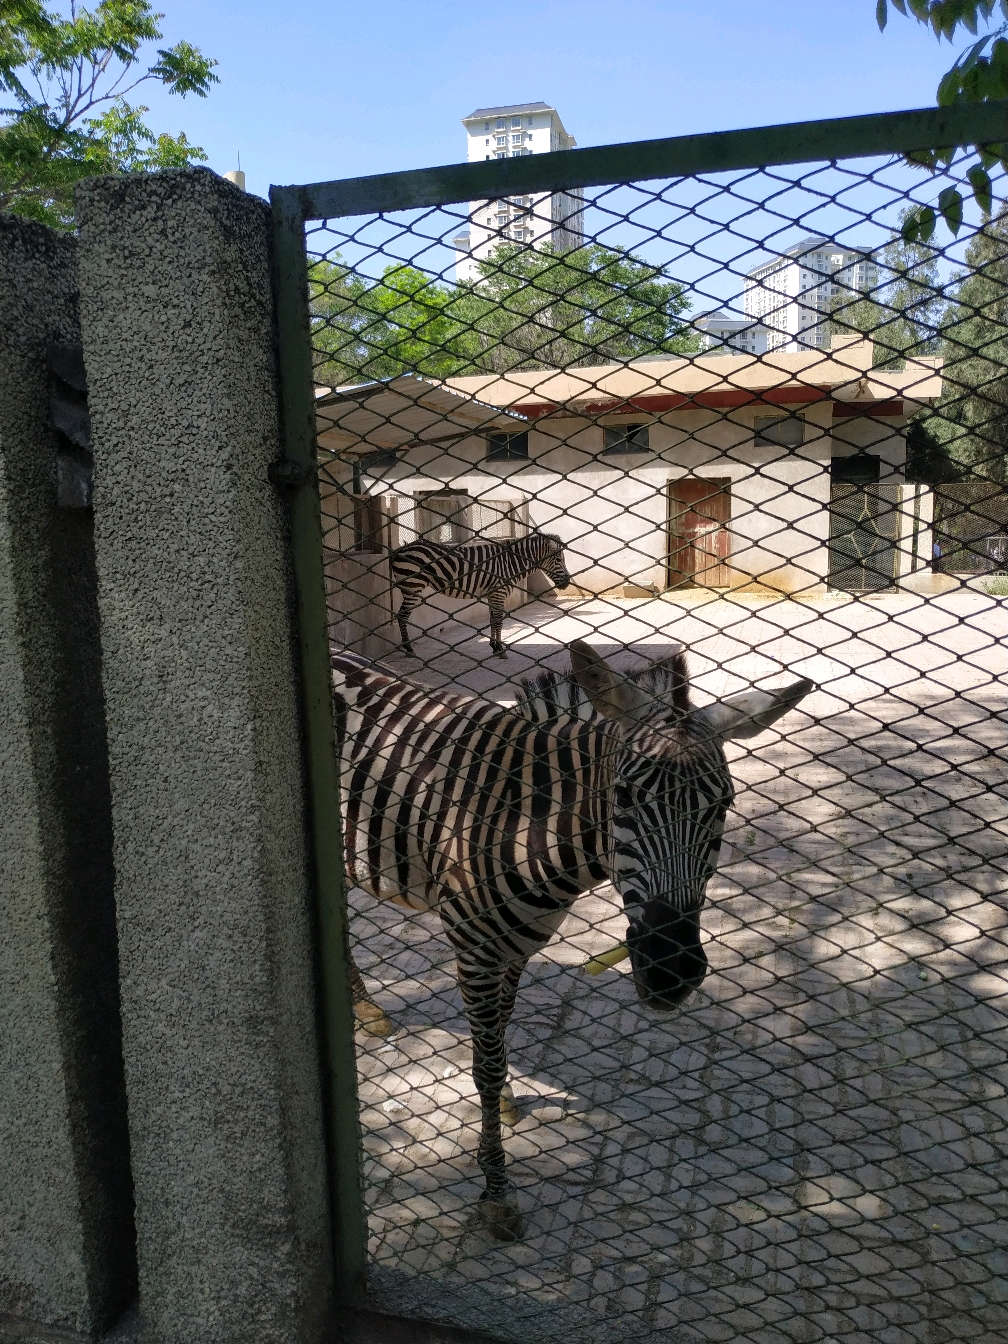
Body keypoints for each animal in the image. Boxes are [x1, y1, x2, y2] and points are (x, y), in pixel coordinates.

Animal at [331, 639, 811, 1236]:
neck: (524, 820)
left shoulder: (515, 947)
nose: (670, 970)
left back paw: (365, 1012)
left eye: (723, 806)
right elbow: (485, 1065)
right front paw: (497, 1194)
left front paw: (507, 1102)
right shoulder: (475, 950)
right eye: (623, 797)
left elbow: (498, 1040)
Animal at [389, 529, 572, 655]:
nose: (567, 583)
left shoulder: (493, 593)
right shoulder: (499, 592)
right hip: (413, 585)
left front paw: (493, 645)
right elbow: (498, 620)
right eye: (558, 559)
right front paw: (499, 649)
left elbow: (493, 619)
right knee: (402, 615)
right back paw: (408, 648)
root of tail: (400, 549)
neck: (511, 562)